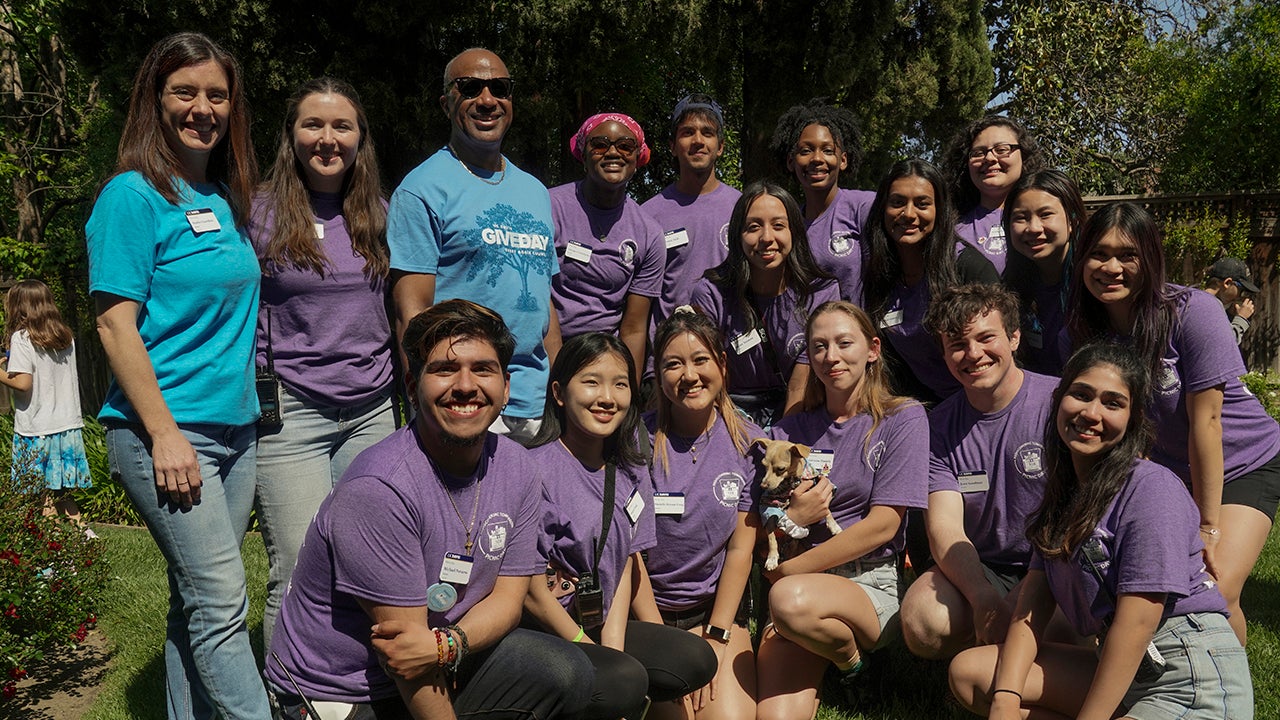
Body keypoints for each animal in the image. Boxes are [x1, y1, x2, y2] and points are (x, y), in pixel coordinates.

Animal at [747, 435, 839, 568]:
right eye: (764, 465)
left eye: (781, 469)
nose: (763, 485)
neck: (792, 481)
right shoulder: (769, 509)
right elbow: (771, 537)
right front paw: (772, 558)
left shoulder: (816, 488)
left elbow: (826, 510)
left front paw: (834, 525)